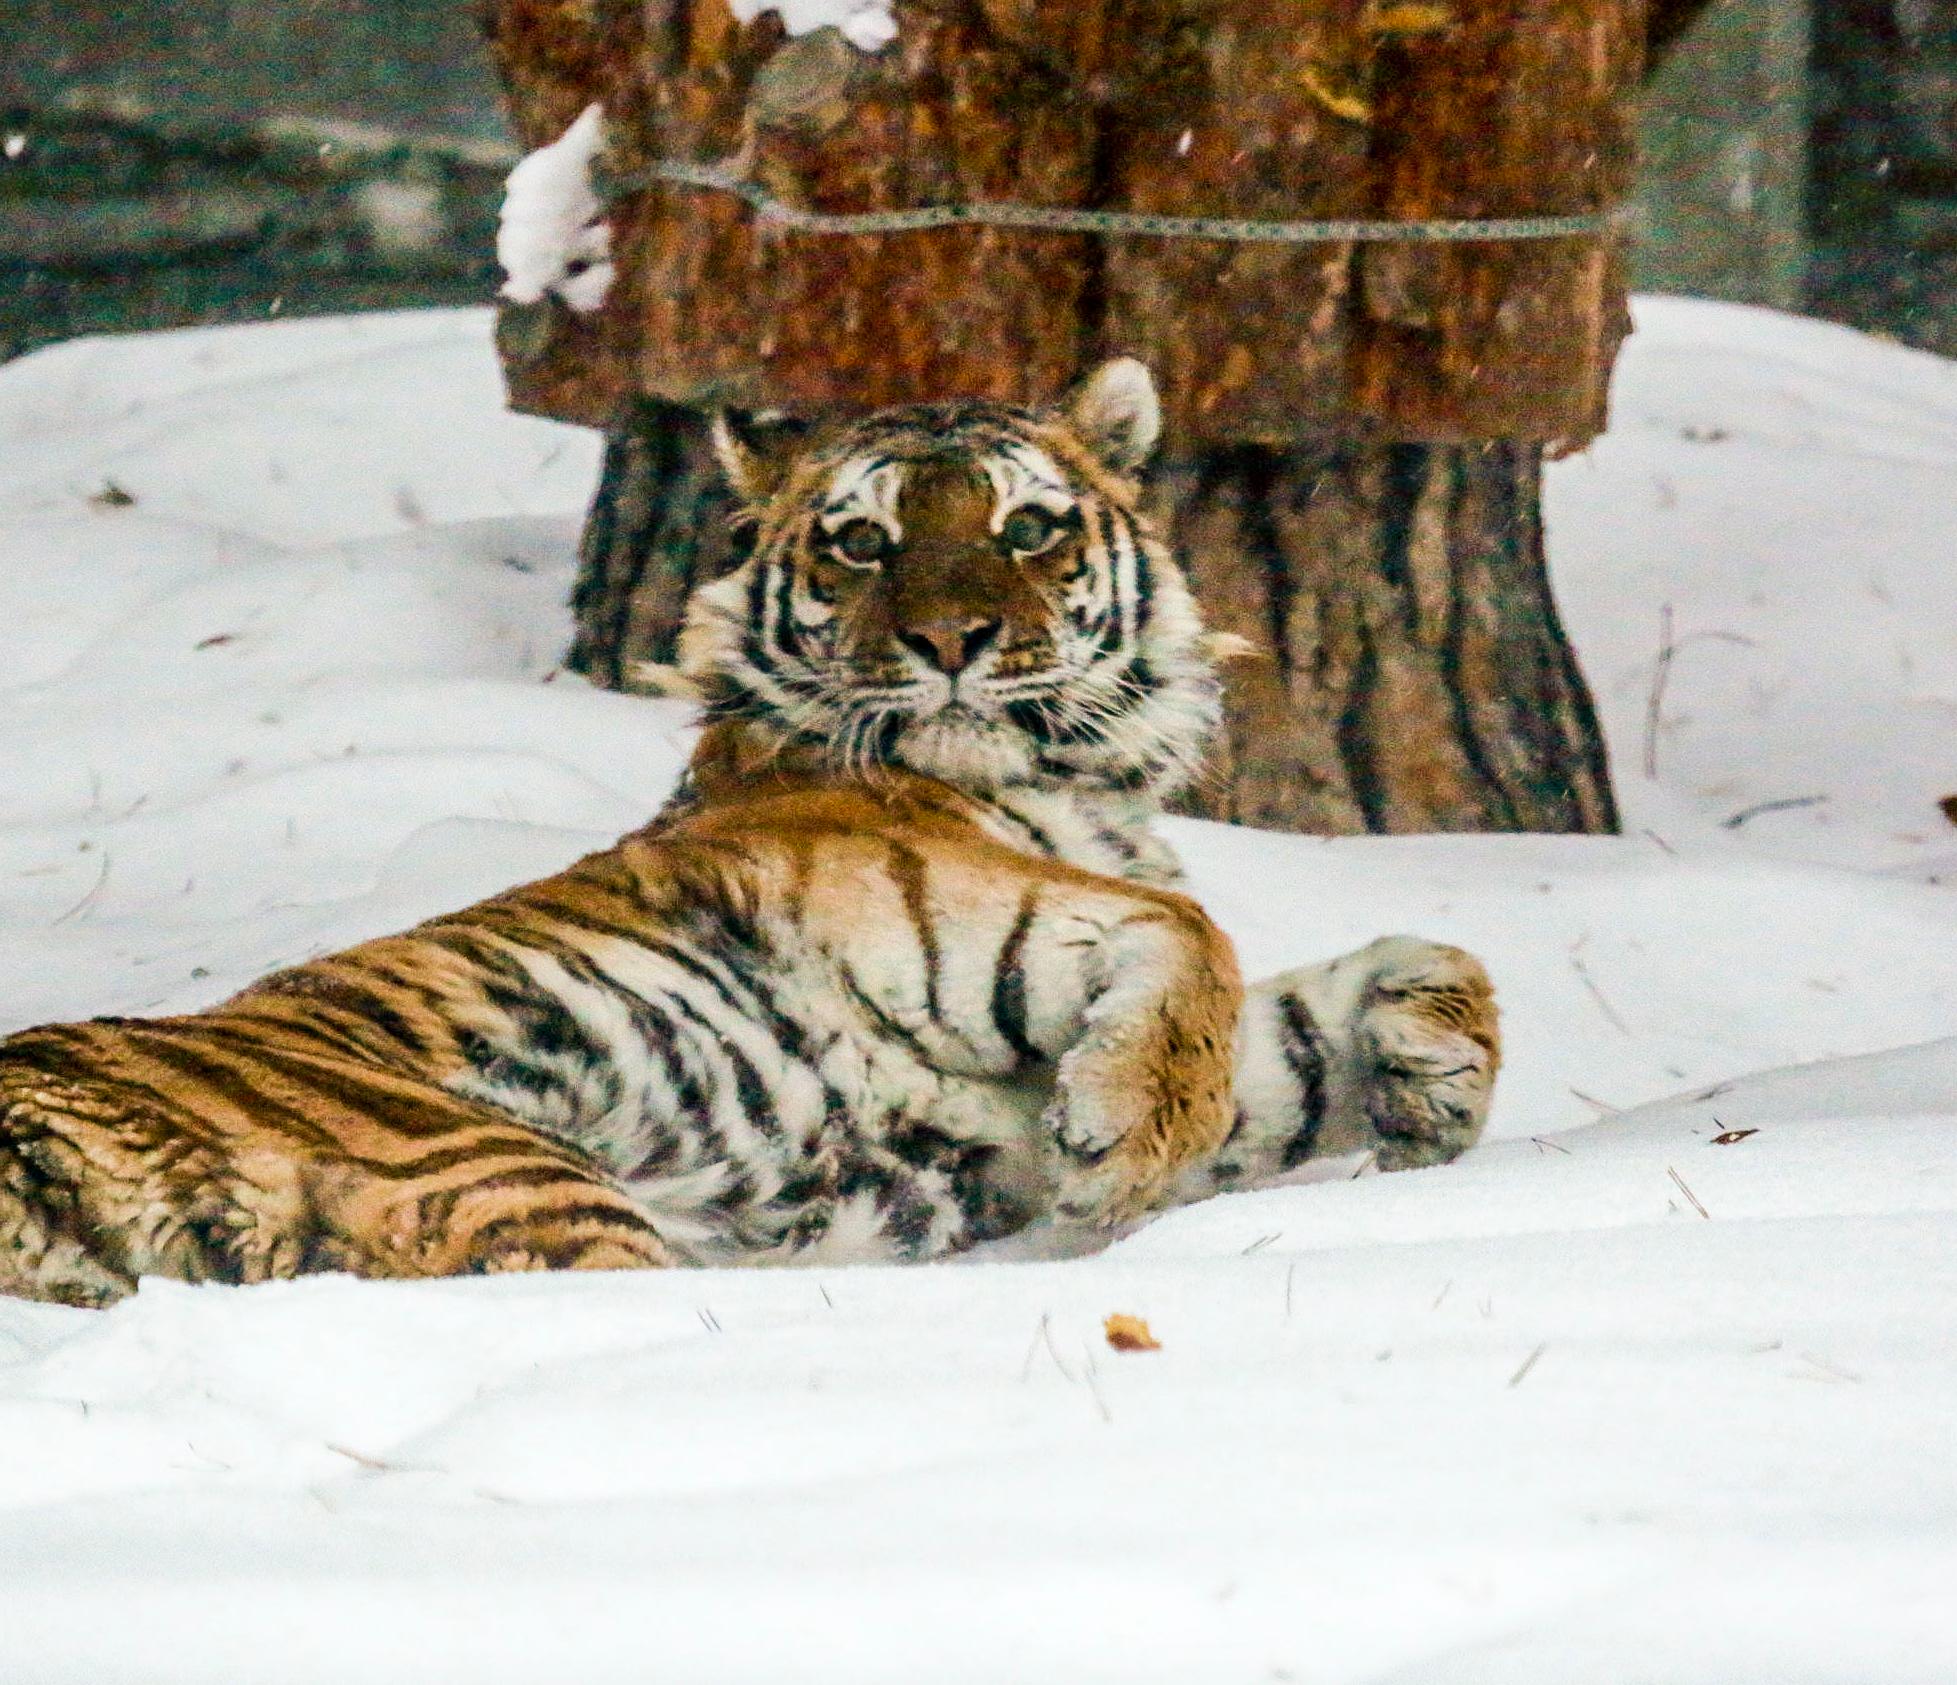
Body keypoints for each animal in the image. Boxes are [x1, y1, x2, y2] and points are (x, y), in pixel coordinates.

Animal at [0, 352, 1495, 1299]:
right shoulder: (932, 894)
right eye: (860, 541)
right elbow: (1192, 933)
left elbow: (1416, 969)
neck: (1078, 786)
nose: (953, 641)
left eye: (1026, 527)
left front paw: (1428, 1085)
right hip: (501, 1168)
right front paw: (1127, 1145)